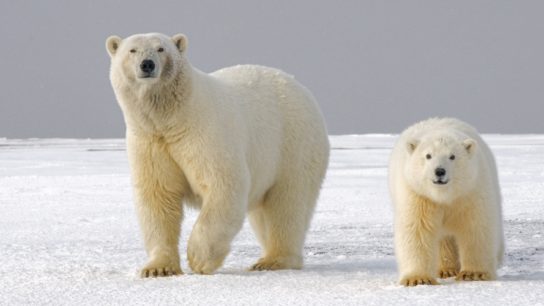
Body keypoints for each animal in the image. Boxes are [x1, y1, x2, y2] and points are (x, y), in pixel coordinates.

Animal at [104, 32, 330, 278]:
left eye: (161, 49)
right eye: (132, 50)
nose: (147, 64)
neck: (172, 118)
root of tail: (300, 87)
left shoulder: (204, 132)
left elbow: (223, 184)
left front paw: (199, 259)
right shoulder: (150, 141)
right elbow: (158, 196)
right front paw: (158, 268)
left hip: (293, 144)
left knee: (287, 203)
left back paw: (273, 260)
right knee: (264, 212)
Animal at [388, 118, 504, 286]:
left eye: (452, 156)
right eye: (428, 155)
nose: (439, 171)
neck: (444, 196)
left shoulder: (471, 191)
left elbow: (475, 227)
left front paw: (473, 274)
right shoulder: (418, 195)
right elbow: (417, 229)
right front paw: (418, 279)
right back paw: (446, 269)